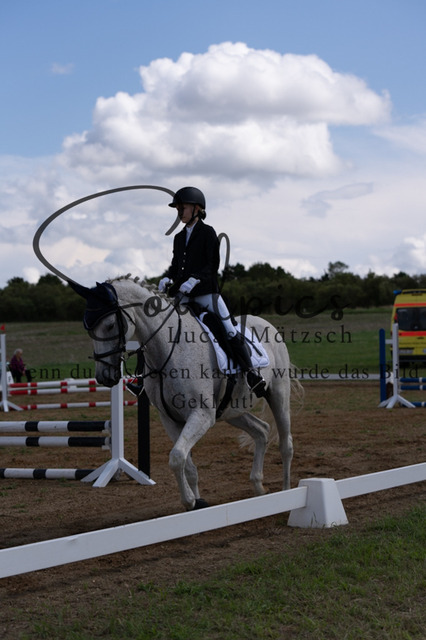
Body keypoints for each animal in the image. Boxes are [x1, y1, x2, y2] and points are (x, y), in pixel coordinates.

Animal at [70, 275, 296, 511]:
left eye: (111, 325)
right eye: (88, 329)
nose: (104, 377)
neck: (169, 349)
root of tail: (267, 324)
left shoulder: (201, 415)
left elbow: (177, 456)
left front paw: (189, 500)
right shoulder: (171, 419)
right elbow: (187, 464)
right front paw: (197, 502)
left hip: (278, 395)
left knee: (285, 444)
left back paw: (287, 492)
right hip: (232, 410)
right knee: (261, 431)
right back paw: (259, 486)